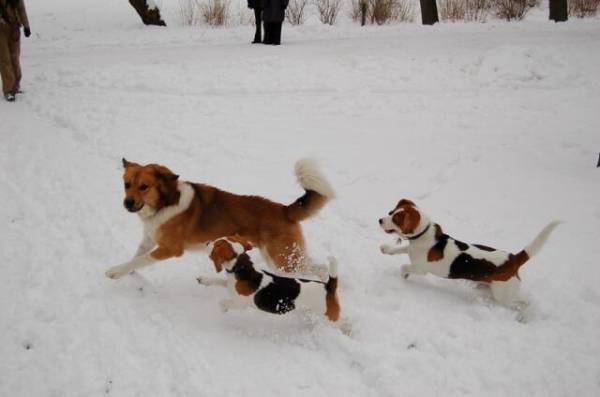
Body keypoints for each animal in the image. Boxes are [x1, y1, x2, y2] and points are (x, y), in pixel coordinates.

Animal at [105, 158, 336, 278]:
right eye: (126, 184)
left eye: (144, 187)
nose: (127, 203)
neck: (165, 203)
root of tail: (284, 209)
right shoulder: (149, 239)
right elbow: (136, 257)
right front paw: (128, 272)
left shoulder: (170, 249)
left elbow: (142, 259)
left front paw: (115, 271)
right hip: (282, 258)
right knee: (319, 269)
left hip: (284, 260)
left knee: (315, 271)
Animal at [199, 235, 340, 322]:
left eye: (216, 244)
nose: (207, 242)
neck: (241, 267)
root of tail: (328, 287)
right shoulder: (229, 284)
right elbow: (219, 281)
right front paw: (204, 280)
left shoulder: (239, 304)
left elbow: (223, 302)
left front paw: (223, 310)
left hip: (329, 318)